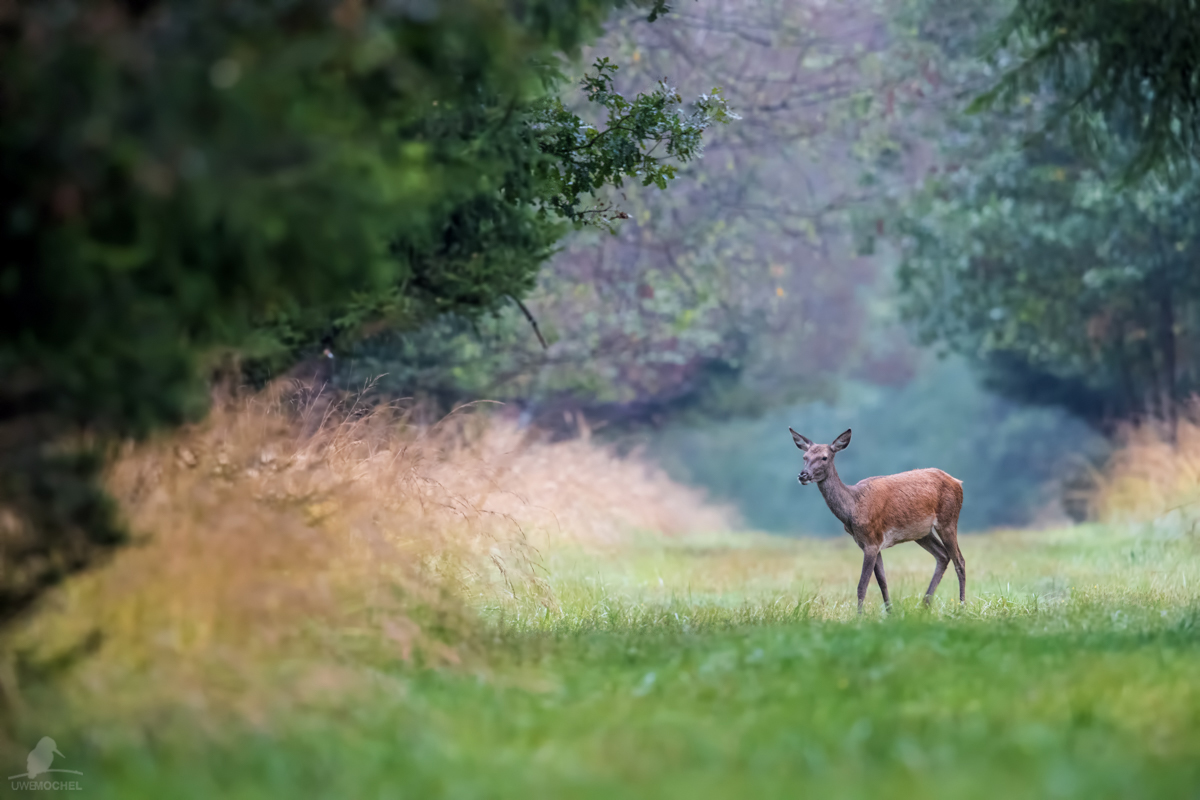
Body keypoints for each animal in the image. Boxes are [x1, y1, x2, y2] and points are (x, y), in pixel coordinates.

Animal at [787, 431, 964, 614]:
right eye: (804, 456)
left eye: (824, 457)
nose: (803, 475)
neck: (853, 507)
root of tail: (958, 483)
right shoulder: (870, 543)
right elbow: (882, 582)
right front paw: (890, 613)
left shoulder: (872, 541)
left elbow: (862, 585)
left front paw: (859, 616)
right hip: (922, 533)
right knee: (943, 555)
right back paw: (925, 605)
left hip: (948, 519)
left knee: (959, 561)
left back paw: (961, 606)